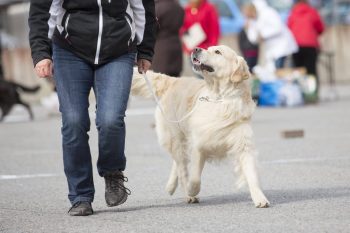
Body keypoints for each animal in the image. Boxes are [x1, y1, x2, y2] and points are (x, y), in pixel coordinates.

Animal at [131, 45, 270, 208]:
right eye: (209, 48)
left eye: (217, 52)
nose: (196, 49)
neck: (220, 98)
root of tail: (172, 81)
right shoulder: (199, 144)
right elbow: (195, 178)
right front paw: (191, 191)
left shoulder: (243, 144)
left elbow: (251, 173)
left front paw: (260, 198)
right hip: (175, 136)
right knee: (181, 166)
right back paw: (186, 193)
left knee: (178, 163)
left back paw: (171, 186)